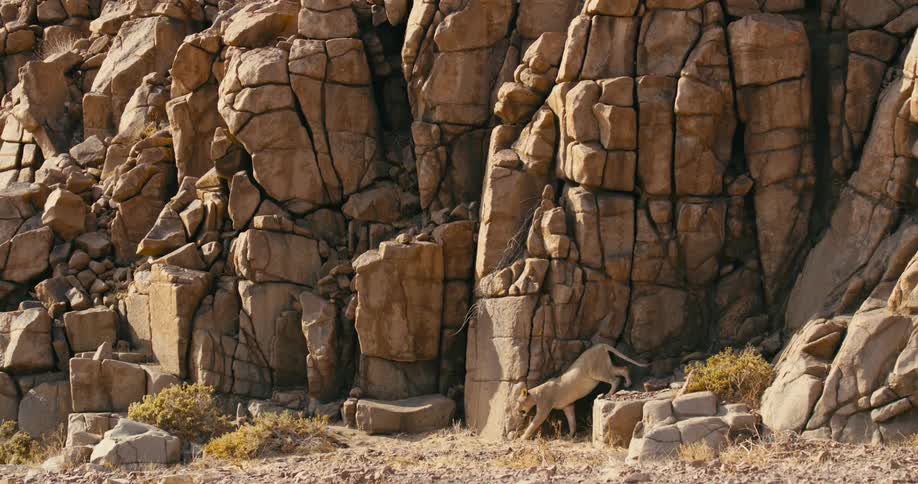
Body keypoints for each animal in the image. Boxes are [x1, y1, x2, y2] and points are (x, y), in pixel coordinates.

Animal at [515, 343, 648, 440]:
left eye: (518, 402)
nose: (517, 410)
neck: (536, 395)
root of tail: (602, 345)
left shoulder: (544, 407)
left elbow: (534, 423)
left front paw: (522, 437)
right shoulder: (568, 406)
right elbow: (571, 421)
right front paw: (570, 435)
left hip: (597, 371)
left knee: (615, 379)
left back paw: (609, 394)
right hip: (606, 366)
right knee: (623, 369)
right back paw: (628, 383)